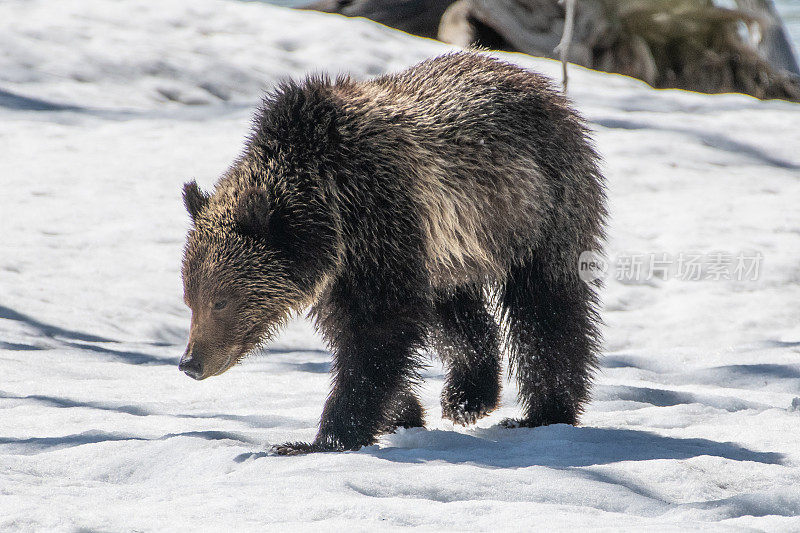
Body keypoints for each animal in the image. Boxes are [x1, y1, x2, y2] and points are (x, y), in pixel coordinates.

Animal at [180, 52, 608, 454]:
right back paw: (467, 396)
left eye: (220, 301)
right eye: (190, 299)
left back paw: (544, 412)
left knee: (546, 310)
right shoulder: (351, 265)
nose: (190, 363)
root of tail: (538, 81)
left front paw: (324, 438)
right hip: (451, 251)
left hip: (538, 211)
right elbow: (363, 331)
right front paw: (404, 414)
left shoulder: (380, 221)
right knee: (458, 316)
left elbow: (377, 330)